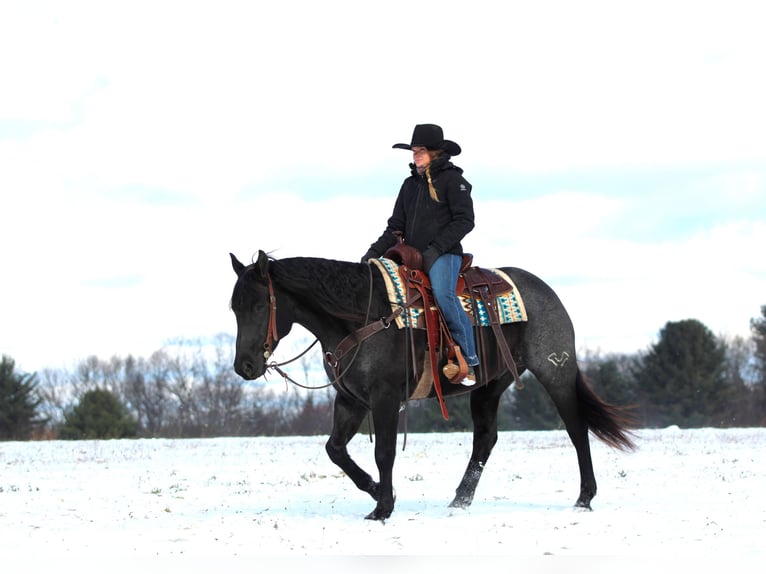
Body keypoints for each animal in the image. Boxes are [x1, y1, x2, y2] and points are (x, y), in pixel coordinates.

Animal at [229, 250, 636, 521]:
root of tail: (546, 291)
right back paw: (460, 500)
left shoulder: (385, 398)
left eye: (259, 306)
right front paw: (377, 491)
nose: (244, 366)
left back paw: (584, 497)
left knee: (576, 428)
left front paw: (383, 507)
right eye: (235, 307)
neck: (360, 317)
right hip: (490, 385)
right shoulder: (351, 400)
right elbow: (335, 450)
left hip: (556, 372)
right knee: (485, 439)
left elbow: (384, 453)